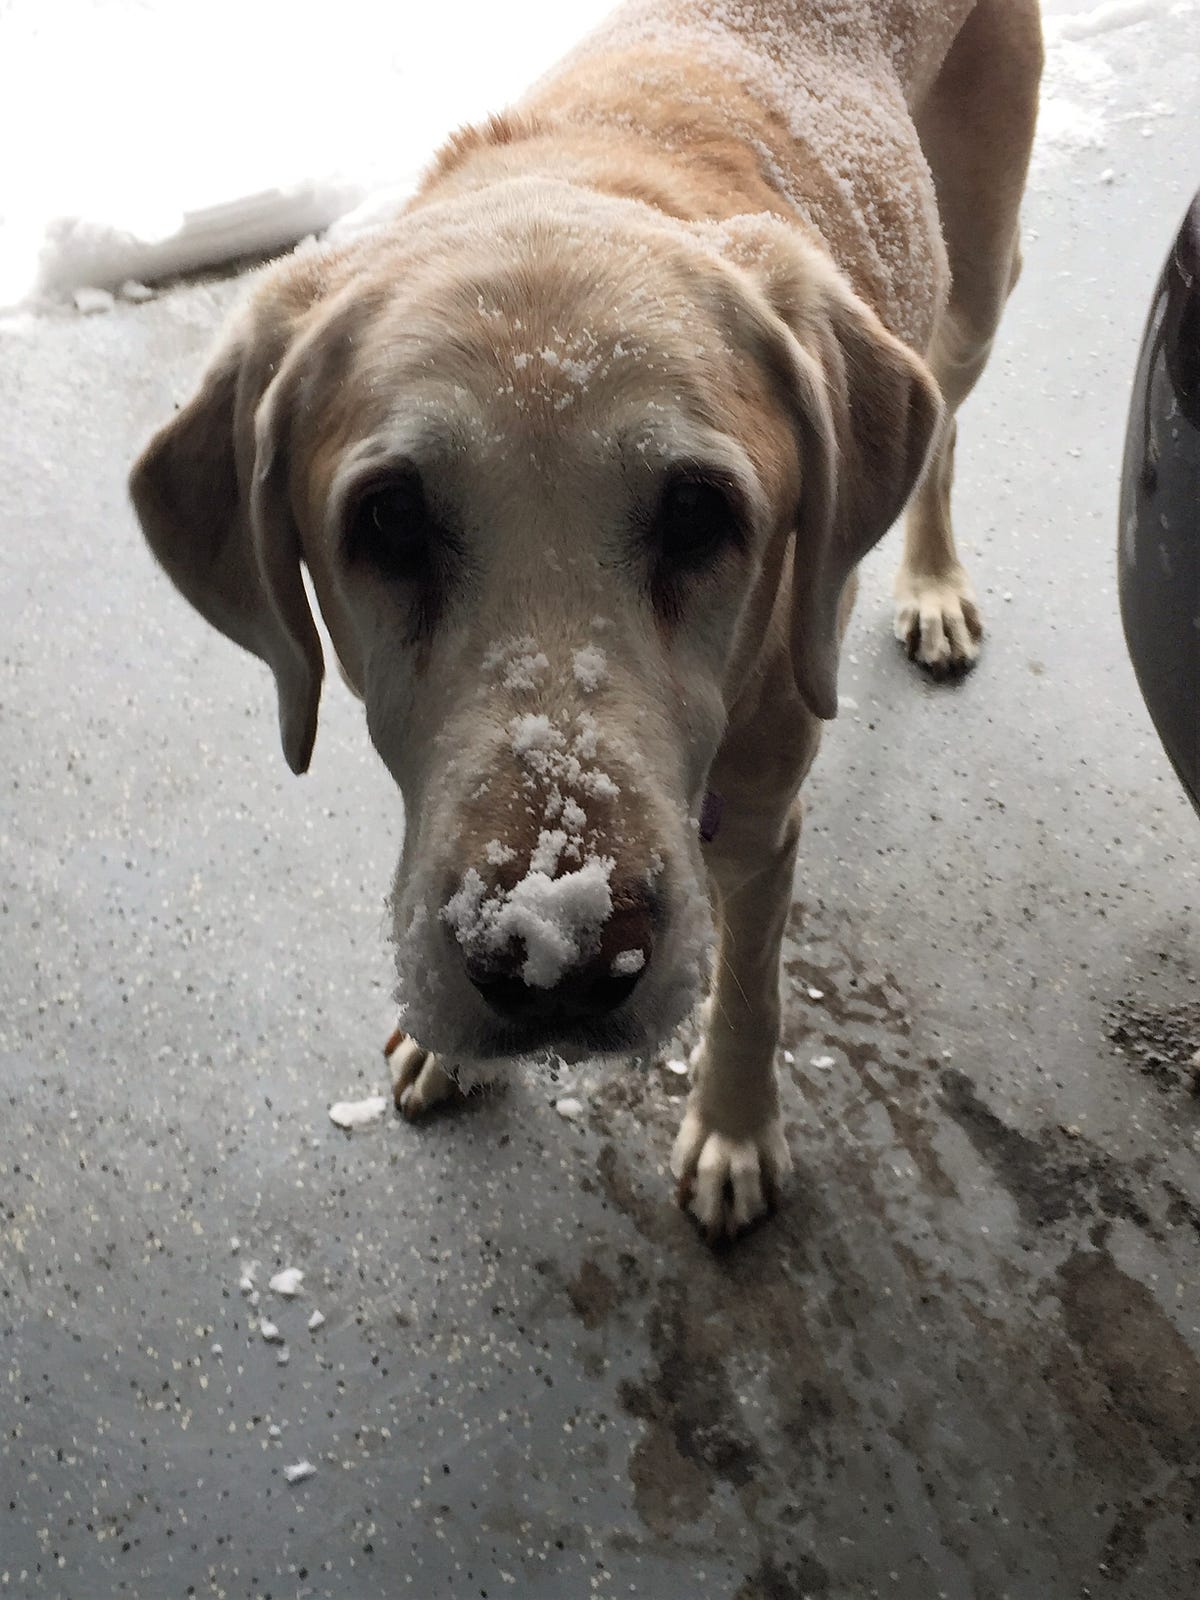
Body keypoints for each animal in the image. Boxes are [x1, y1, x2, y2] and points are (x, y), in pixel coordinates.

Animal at [130, 0, 1042, 1240]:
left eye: (701, 512)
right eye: (390, 519)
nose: (549, 962)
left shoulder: (760, 820)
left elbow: (749, 989)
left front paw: (735, 1133)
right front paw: (445, 1046)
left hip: (977, 289)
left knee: (944, 421)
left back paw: (934, 582)